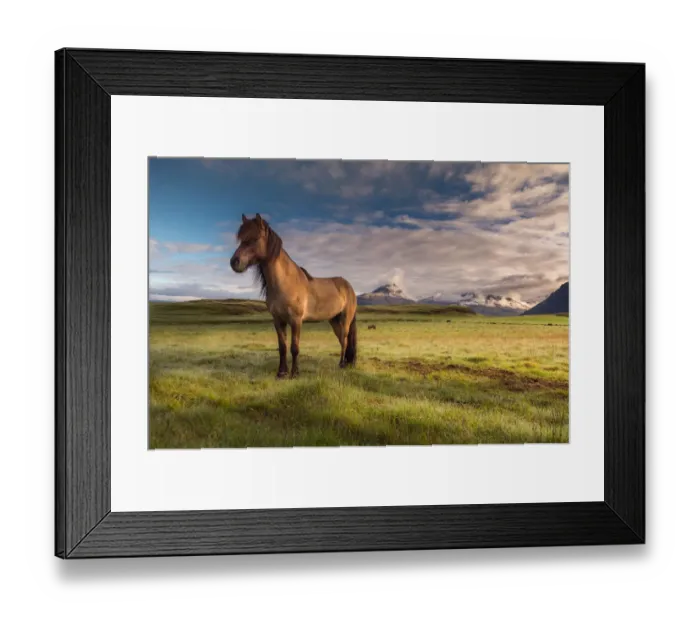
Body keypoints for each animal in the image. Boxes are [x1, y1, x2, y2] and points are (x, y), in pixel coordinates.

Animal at [230, 213, 358, 379]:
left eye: (255, 238)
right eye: (240, 238)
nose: (234, 262)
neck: (285, 282)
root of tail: (349, 286)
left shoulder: (296, 321)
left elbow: (294, 348)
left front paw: (294, 373)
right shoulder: (278, 321)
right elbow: (283, 347)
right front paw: (281, 372)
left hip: (345, 319)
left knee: (345, 339)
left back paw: (342, 364)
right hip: (334, 320)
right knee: (342, 340)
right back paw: (345, 363)